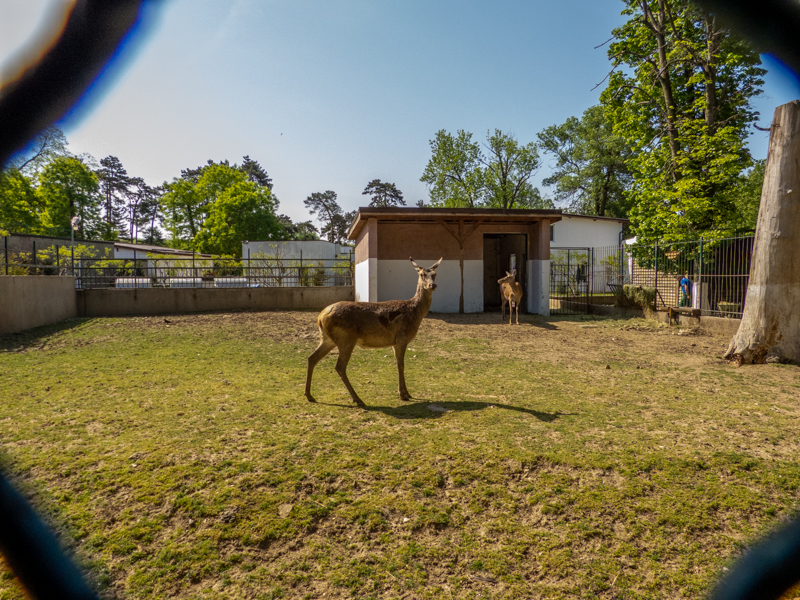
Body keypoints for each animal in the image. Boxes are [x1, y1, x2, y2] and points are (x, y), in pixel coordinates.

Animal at [305, 257, 443, 406]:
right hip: (346, 339)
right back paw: (358, 399)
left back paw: (309, 395)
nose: (432, 285)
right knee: (339, 366)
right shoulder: (402, 338)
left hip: (327, 339)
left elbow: (399, 364)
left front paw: (406, 393)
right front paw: (403, 395)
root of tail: (320, 316)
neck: (416, 313)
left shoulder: (394, 342)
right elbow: (401, 364)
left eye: (435, 274)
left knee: (312, 358)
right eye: (422, 274)